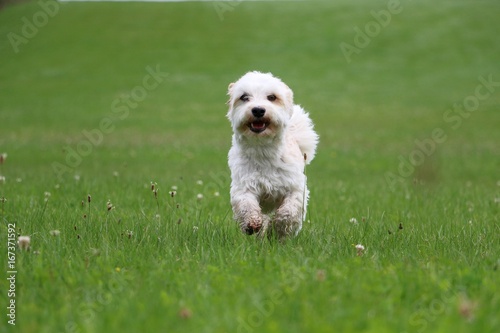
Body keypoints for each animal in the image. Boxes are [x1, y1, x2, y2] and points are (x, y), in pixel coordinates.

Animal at [228, 71, 318, 237]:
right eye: (244, 97)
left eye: (271, 97)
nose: (258, 110)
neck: (263, 150)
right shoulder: (243, 185)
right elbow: (246, 204)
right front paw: (252, 223)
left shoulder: (296, 187)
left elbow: (289, 211)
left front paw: (279, 227)